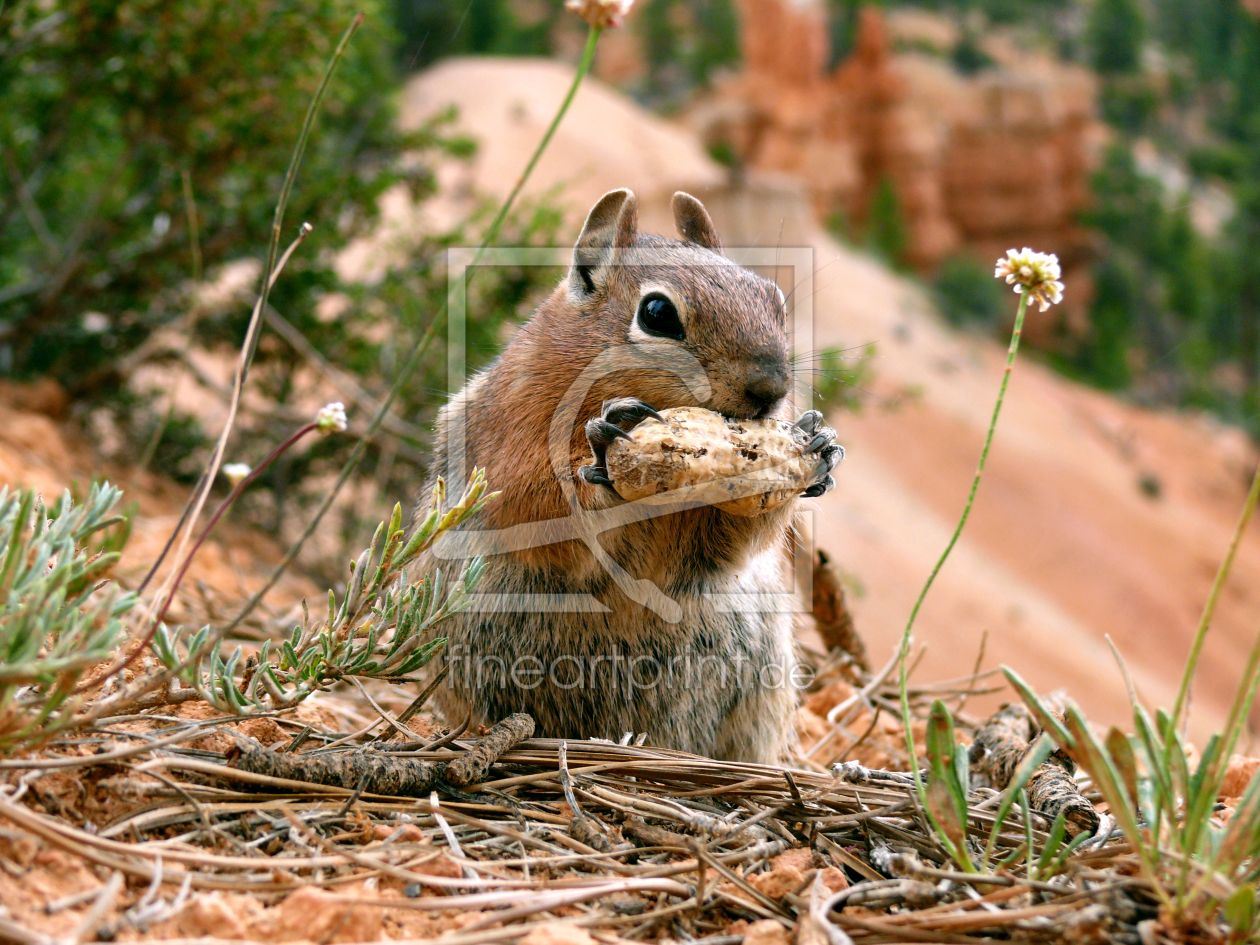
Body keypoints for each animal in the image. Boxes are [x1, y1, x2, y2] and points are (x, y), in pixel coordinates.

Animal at [413, 189, 841, 766]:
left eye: (775, 300)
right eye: (657, 313)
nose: (771, 388)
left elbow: (728, 545)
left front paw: (817, 444)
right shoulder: (511, 450)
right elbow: (543, 513)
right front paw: (605, 443)